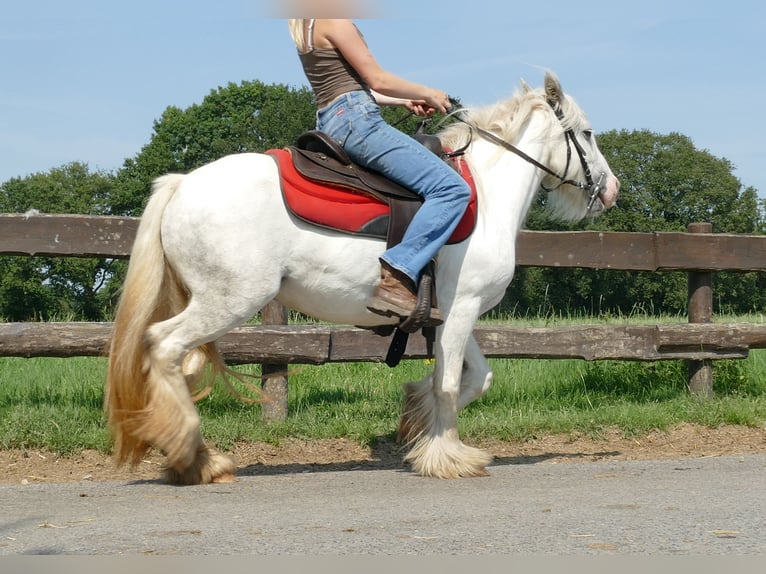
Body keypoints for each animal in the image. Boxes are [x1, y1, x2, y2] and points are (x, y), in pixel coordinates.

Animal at [105, 72, 620, 486]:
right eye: (588, 134)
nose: (611, 190)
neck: (487, 198)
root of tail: (181, 185)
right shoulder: (462, 308)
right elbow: (450, 384)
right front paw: (449, 458)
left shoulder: (452, 314)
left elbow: (475, 378)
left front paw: (414, 420)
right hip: (226, 302)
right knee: (163, 346)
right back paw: (194, 459)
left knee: (183, 366)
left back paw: (192, 456)